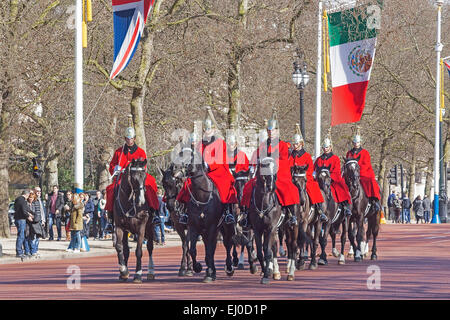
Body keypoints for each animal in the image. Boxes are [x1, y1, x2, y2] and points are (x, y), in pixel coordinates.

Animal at [185, 150, 237, 282]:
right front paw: (198, 267)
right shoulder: (193, 226)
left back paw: (228, 268)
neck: (201, 196)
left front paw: (208, 273)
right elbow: (192, 250)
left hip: (226, 227)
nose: (174, 169)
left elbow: (209, 250)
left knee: (228, 243)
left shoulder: (212, 226)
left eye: (191, 156)